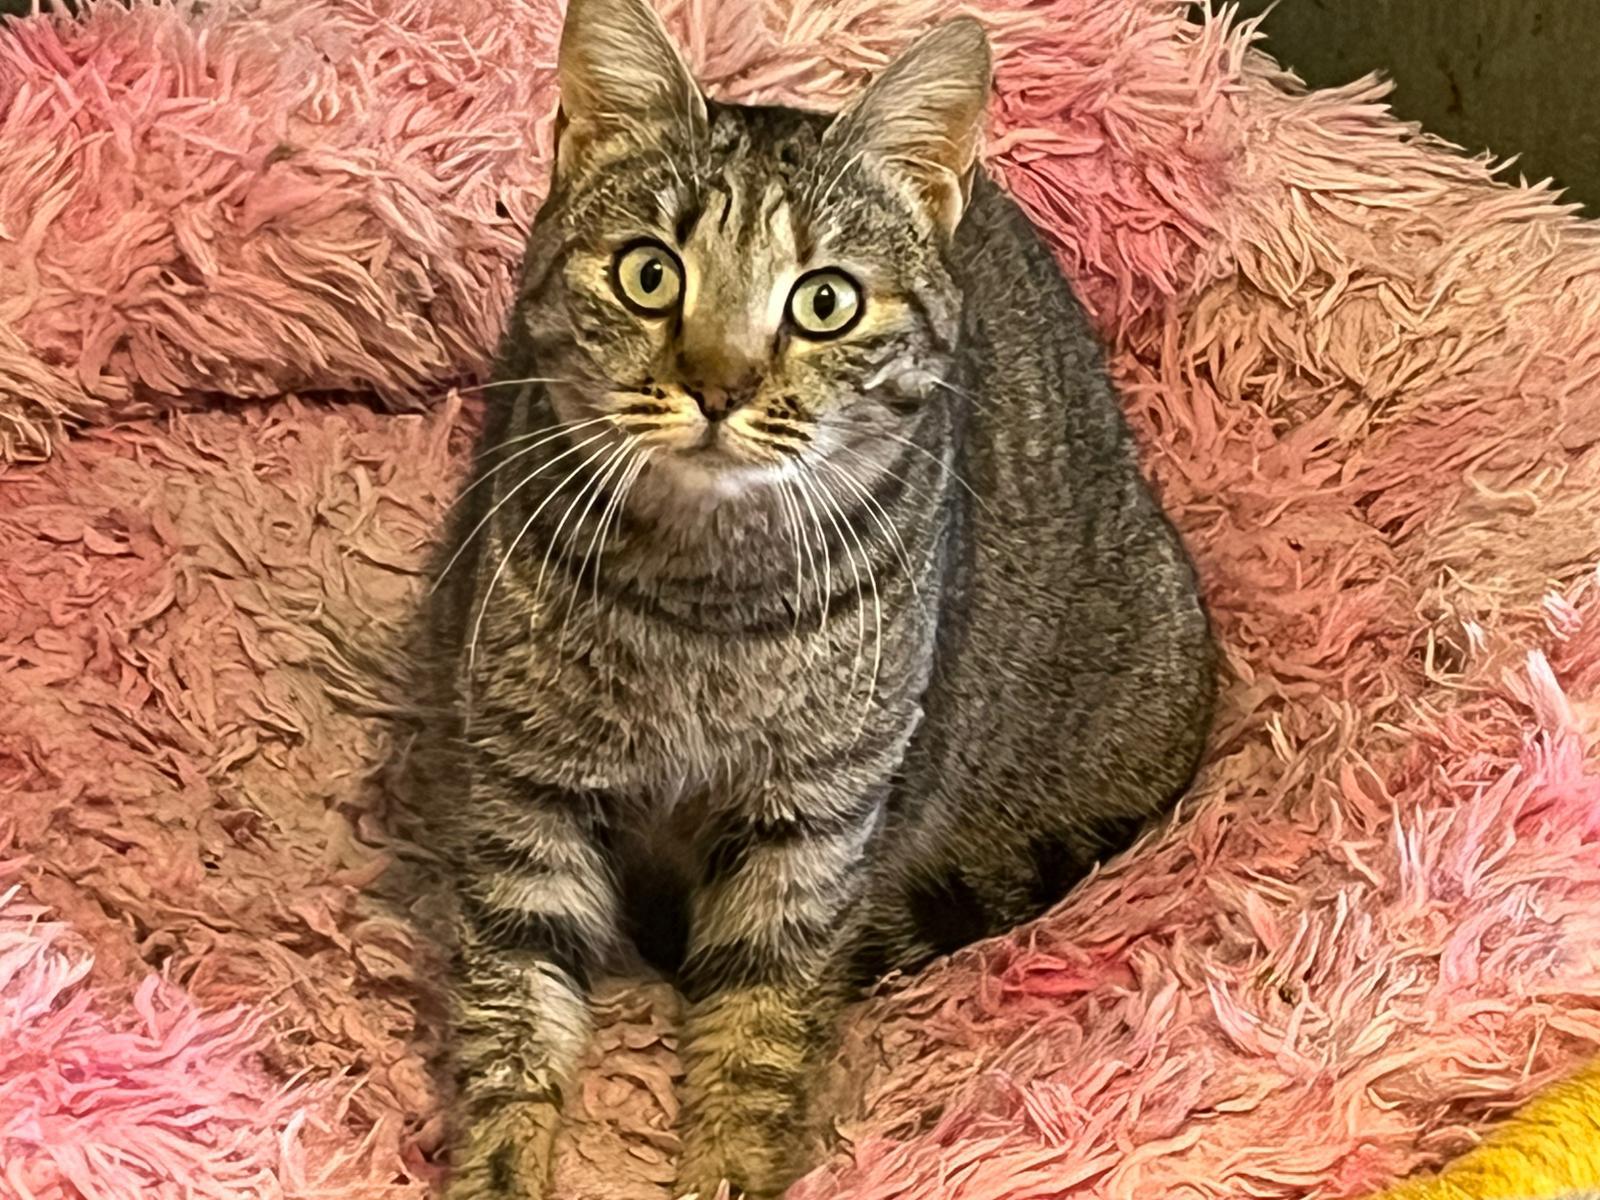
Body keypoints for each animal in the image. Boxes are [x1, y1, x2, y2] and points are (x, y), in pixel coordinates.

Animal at [422, 0, 1216, 1195]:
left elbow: (758, 1028)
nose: (719, 385)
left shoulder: (813, 825)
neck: (704, 595)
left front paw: (725, 1166)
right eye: (651, 275)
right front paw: (504, 1161)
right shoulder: (528, 788)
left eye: (825, 301)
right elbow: (513, 1009)